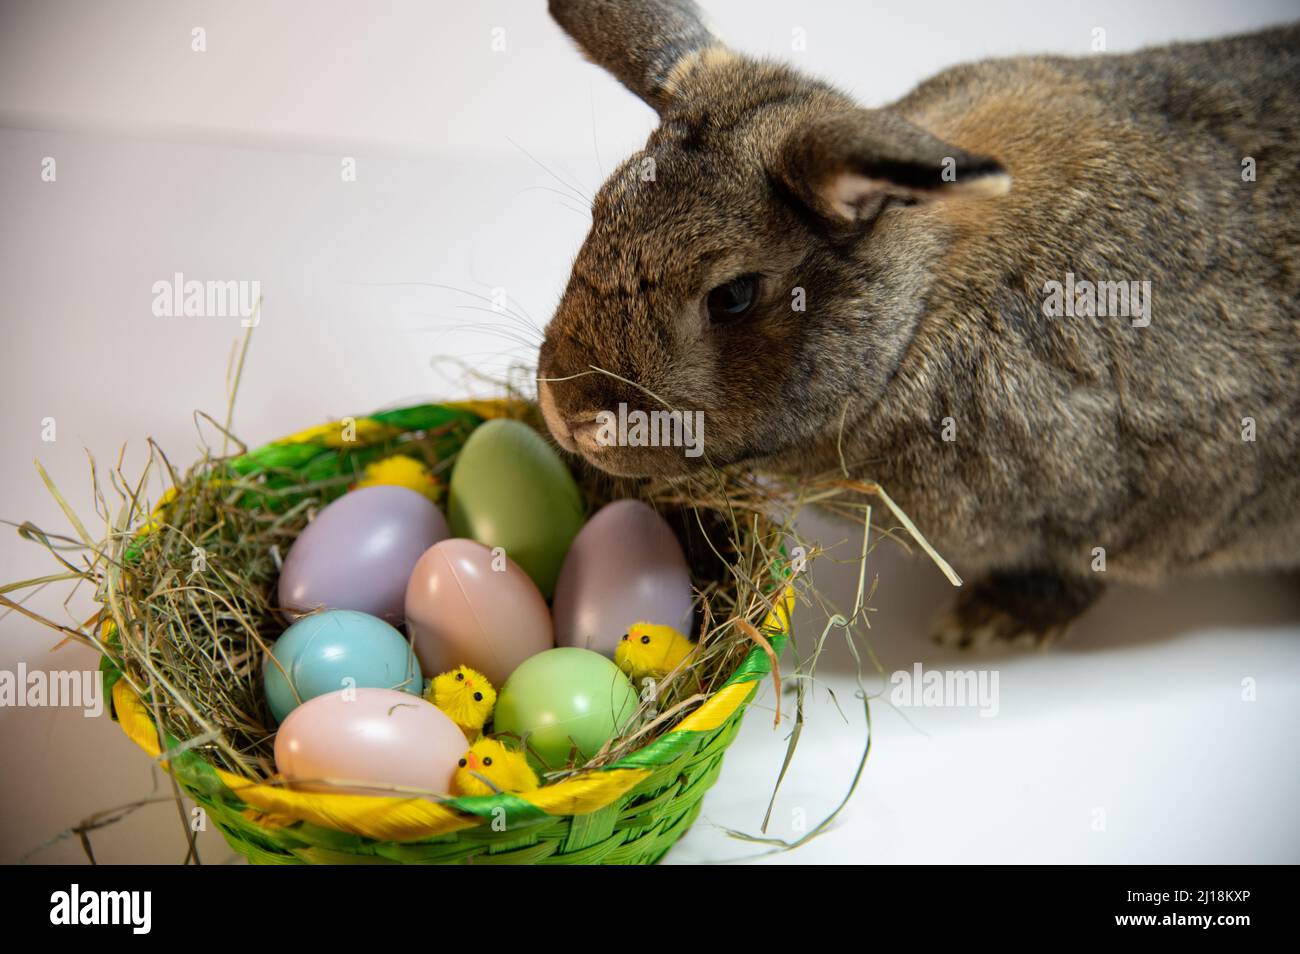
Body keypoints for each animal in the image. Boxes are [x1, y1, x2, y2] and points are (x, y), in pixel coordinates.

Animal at [536, 0, 1300, 648]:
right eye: (601, 212)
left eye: (732, 296)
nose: (566, 412)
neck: (919, 304)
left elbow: (1072, 570)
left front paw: (983, 626)